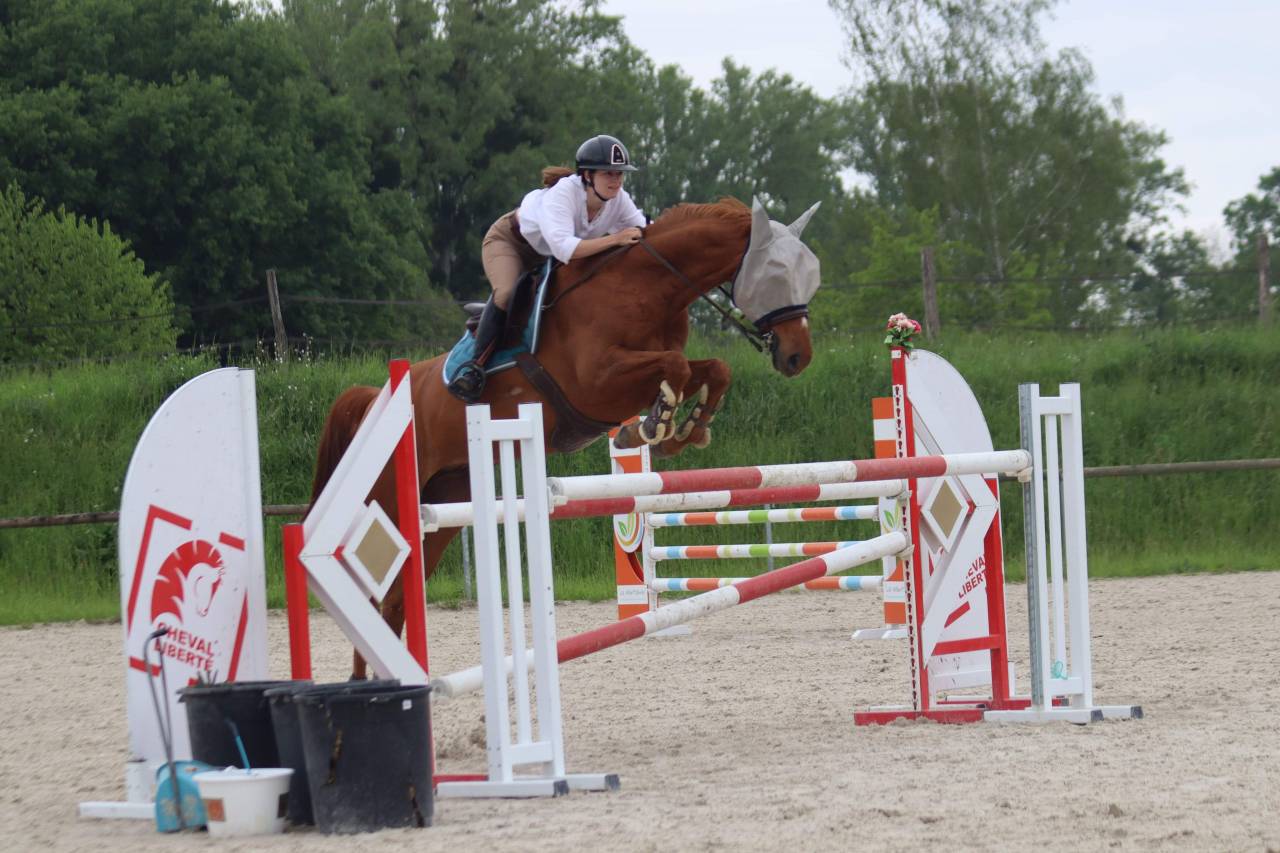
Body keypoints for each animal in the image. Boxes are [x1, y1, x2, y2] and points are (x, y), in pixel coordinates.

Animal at [307, 196, 825, 677]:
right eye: (776, 274)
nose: (798, 357)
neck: (648, 288)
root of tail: (377, 396)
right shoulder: (599, 382)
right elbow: (676, 368)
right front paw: (650, 427)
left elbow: (712, 368)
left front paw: (682, 432)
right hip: (387, 499)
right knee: (365, 586)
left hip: (445, 501)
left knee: (393, 598)